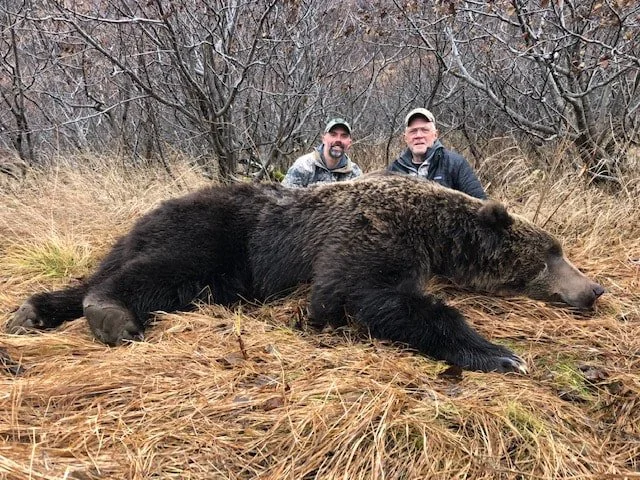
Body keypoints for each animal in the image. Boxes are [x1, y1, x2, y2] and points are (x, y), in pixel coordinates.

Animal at [6, 174, 604, 373]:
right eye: (553, 253)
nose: (595, 288)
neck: (435, 232)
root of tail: (148, 215)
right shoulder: (367, 239)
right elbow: (371, 297)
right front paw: (502, 354)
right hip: (223, 239)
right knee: (166, 274)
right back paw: (110, 315)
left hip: (148, 242)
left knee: (101, 274)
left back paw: (32, 311)